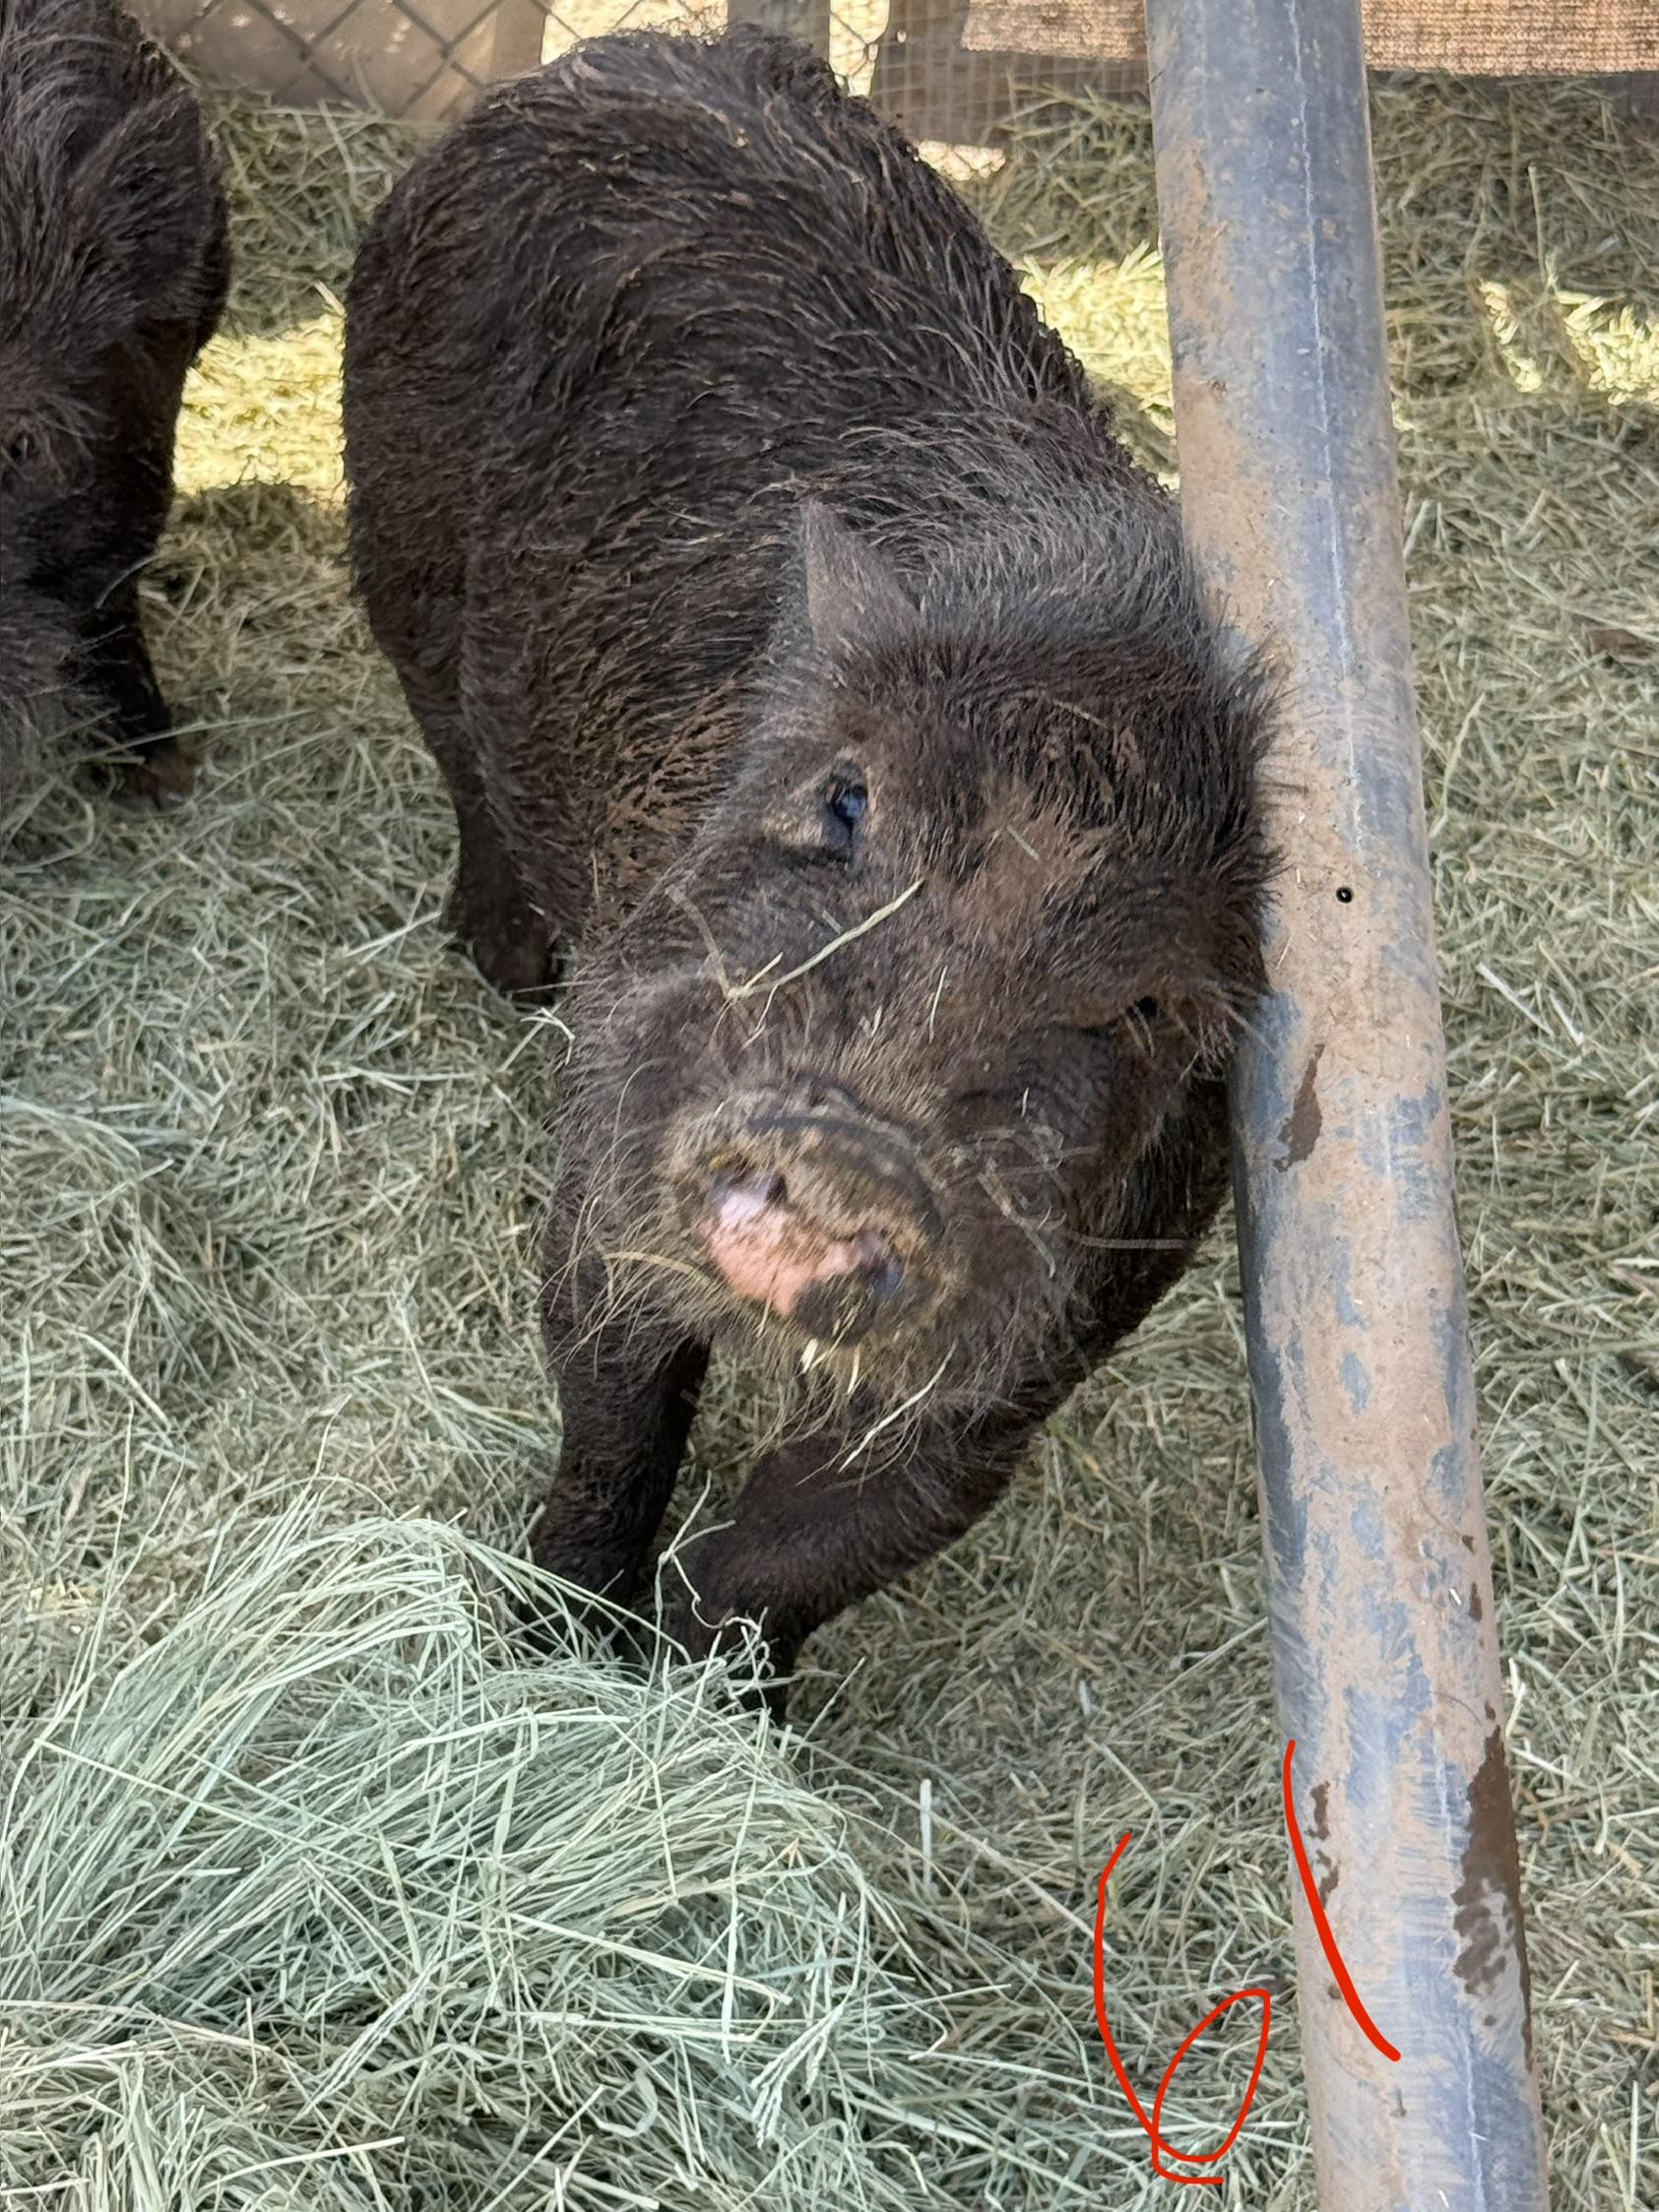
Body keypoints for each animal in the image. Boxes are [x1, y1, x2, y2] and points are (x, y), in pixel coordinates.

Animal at [343, 27, 1272, 1714]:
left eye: (1152, 1008)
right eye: (844, 805)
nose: (857, 1146)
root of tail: (615, 56)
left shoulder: (1030, 1359)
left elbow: (807, 1548)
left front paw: (725, 1715)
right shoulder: (609, 1149)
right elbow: (610, 1418)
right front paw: (552, 1645)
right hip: (398, 520)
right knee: (450, 734)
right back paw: (501, 960)